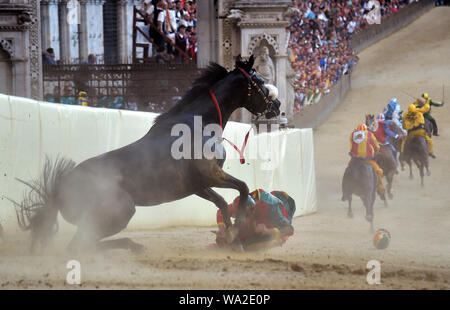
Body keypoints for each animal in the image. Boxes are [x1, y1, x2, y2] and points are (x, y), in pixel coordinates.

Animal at [9, 55, 282, 253]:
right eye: (259, 81)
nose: (277, 106)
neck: (198, 126)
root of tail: (60, 189)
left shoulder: (198, 185)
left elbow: (223, 203)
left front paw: (230, 236)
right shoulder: (211, 174)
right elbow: (243, 188)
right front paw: (239, 228)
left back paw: (134, 246)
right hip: (121, 210)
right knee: (80, 246)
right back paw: (131, 247)